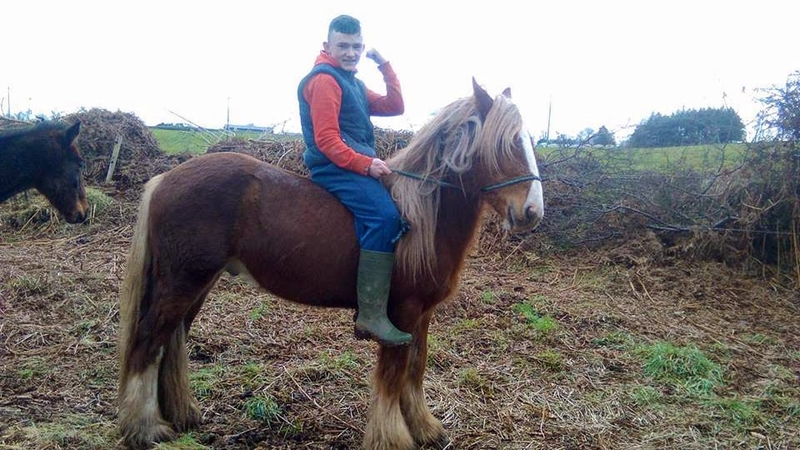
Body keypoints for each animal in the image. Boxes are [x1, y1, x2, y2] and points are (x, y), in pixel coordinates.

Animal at [117, 78, 544, 450]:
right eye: (506, 143)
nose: (533, 212)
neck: (422, 215)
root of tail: (165, 179)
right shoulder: (401, 314)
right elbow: (393, 375)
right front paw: (392, 438)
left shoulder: (422, 315)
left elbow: (416, 368)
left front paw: (425, 428)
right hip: (182, 282)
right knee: (149, 341)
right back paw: (145, 428)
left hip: (197, 284)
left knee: (172, 340)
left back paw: (180, 415)